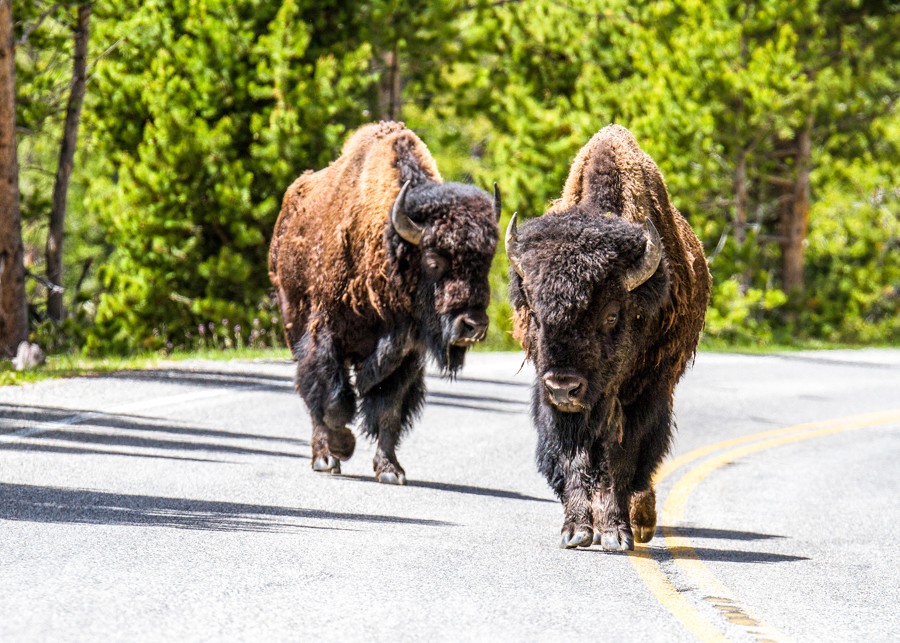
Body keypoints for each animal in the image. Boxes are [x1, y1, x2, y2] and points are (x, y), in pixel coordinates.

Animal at [270, 121, 502, 486]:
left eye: (486, 262)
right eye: (433, 261)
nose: (473, 325)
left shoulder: (406, 355)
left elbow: (388, 411)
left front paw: (391, 470)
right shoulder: (327, 335)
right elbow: (334, 400)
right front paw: (342, 447)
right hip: (293, 322)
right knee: (312, 394)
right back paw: (324, 457)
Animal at [506, 127, 712, 552]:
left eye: (611, 315)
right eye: (535, 315)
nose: (564, 386)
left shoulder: (642, 395)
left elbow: (622, 459)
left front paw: (616, 532)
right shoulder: (558, 408)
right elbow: (574, 458)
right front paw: (576, 530)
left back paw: (641, 522)